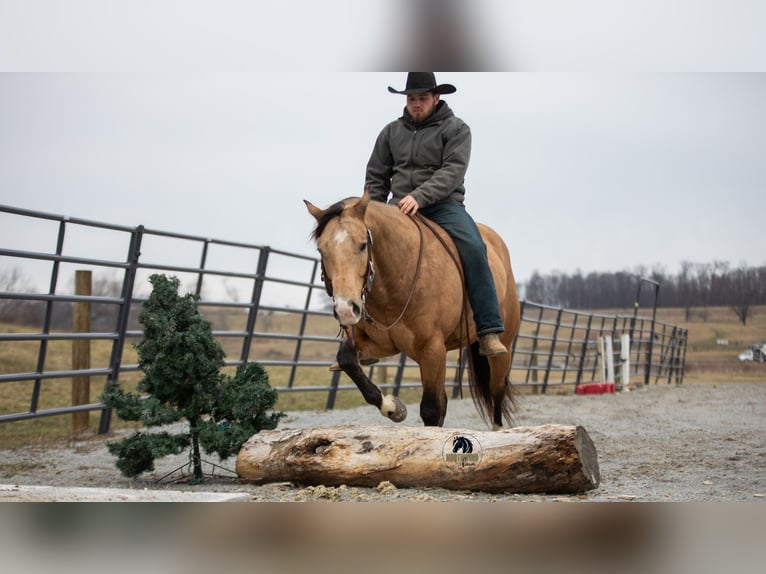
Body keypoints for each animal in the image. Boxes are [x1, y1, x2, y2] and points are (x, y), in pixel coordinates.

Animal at [304, 190, 521, 429]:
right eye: (321, 250)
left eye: (362, 245)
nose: (345, 309)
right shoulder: (378, 345)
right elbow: (347, 360)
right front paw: (393, 407)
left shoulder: (432, 350)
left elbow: (431, 410)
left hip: (502, 350)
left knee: (497, 390)